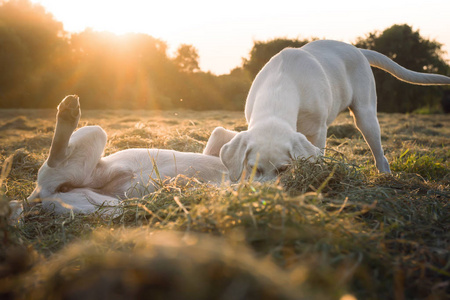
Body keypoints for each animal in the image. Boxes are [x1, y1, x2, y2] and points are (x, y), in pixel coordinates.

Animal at [23, 96, 229, 213]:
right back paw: (68, 111)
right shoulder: (220, 140)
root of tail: (36, 195)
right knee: (55, 157)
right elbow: (222, 133)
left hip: (104, 205)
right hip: (95, 131)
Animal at [204, 39, 450, 180]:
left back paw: (385, 178)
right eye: (253, 168)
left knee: (379, 153)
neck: (280, 89)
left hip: (366, 115)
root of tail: (356, 49)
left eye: (283, 170)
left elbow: (317, 155)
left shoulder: (317, 130)